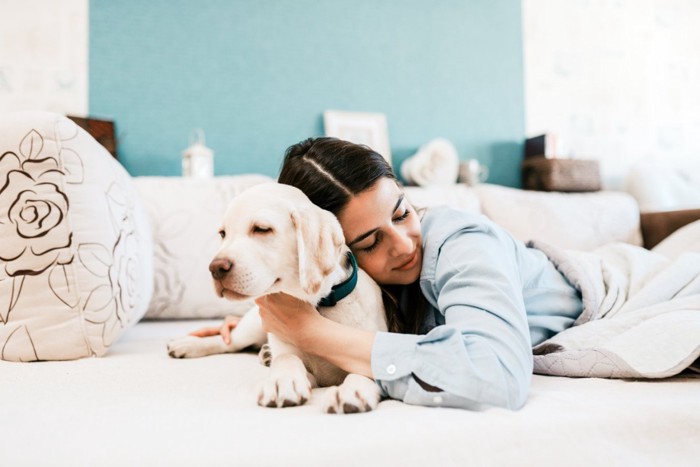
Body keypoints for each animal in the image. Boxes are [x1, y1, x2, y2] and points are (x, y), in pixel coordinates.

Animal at [168, 183, 388, 414]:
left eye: (262, 229)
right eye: (222, 234)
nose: (215, 268)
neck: (317, 304)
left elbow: (364, 369)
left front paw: (350, 390)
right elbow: (286, 357)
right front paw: (283, 381)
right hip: (254, 324)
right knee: (230, 342)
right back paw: (189, 345)